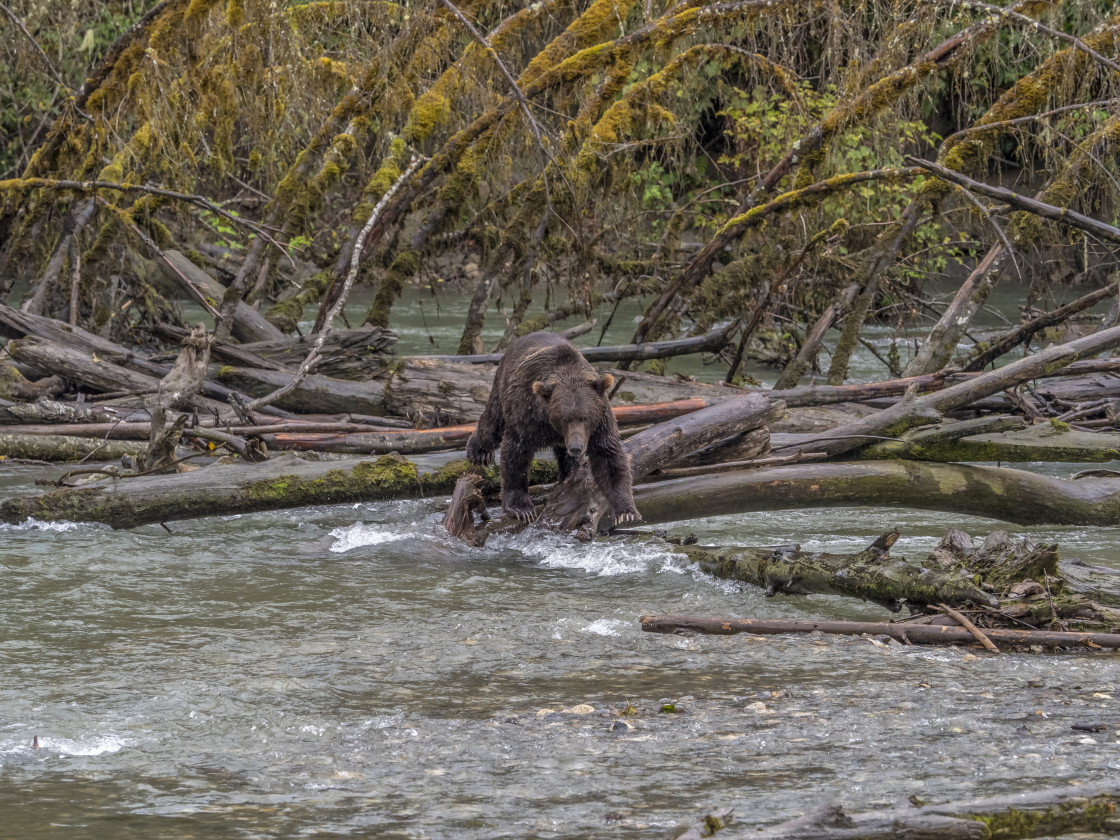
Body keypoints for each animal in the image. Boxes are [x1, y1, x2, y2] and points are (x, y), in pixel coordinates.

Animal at [463, 331, 640, 524]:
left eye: (586, 418)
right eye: (564, 418)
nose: (576, 447)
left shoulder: (600, 423)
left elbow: (607, 457)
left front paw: (626, 512)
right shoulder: (527, 415)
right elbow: (515, 453)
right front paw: (521, 508)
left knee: (566, 458)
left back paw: (567, 477)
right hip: (503, 384)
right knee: (493, 424)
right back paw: (479, 452)